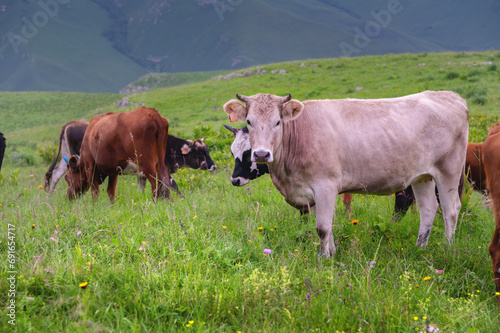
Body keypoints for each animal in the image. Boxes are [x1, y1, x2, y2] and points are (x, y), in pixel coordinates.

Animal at [47, 119, 217, 192]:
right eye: (200, 153)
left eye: (207, 151)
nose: (213, 166)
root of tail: (71, 123)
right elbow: (173, 185)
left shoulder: (142, 174)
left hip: (67, 157)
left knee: (55, 175)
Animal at [223, 91, 468, 256]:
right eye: (249, 121)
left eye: (277, 121)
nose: (262, 154)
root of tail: (449, 95)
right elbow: (328, 226)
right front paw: (331, 253)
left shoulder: (325, 186)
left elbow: (322, 228)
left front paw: (324, 259)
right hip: (422, 176)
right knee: (428, 209)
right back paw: (420, 247)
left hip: (448, 170)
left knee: (450, 210)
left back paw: (446, 248)